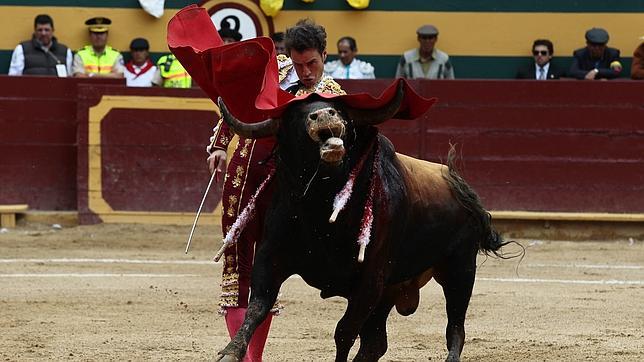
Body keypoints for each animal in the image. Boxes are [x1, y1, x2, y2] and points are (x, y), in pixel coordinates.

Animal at [216, 82, 508, 362]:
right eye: (294, 115)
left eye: (340, 109)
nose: (325, 114)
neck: (320, 210)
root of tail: (460, 185)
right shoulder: (270, 257)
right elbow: (257, 307)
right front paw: (230, 352)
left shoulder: (371, 278)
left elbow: (344, 331)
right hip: (391, 291)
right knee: (376, 343)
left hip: (460, 270)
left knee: (455, 328)